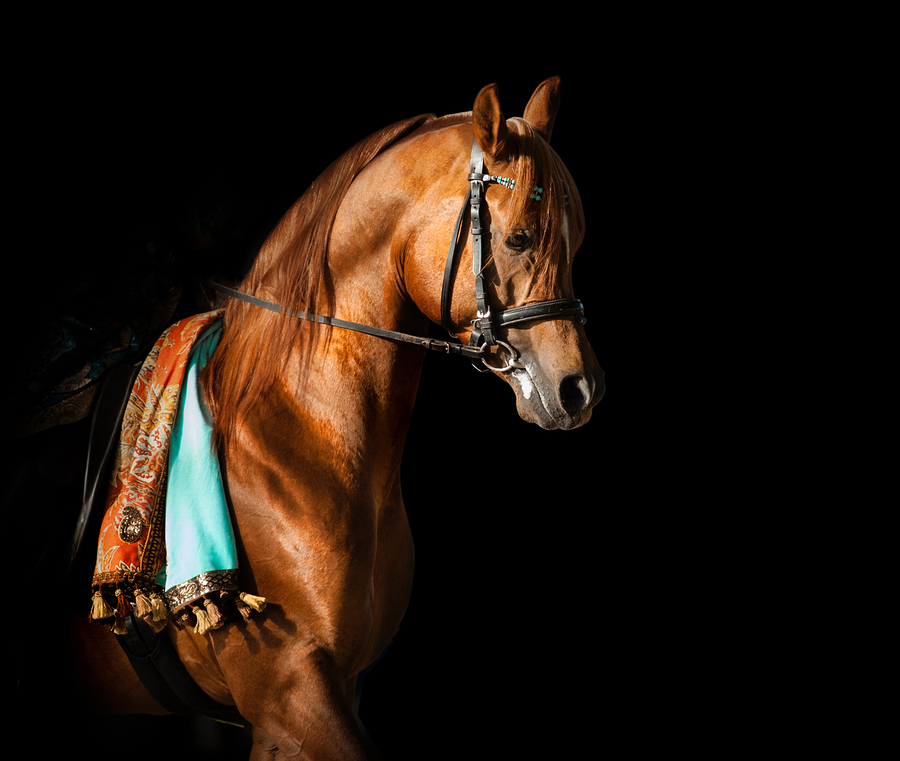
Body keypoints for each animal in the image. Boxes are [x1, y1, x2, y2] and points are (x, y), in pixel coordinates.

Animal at [10, 77, 603, 760]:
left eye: (572, 241)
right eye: (518, 239)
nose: (579, 389)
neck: (300, 431)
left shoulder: (318, 701)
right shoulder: (293, 697)